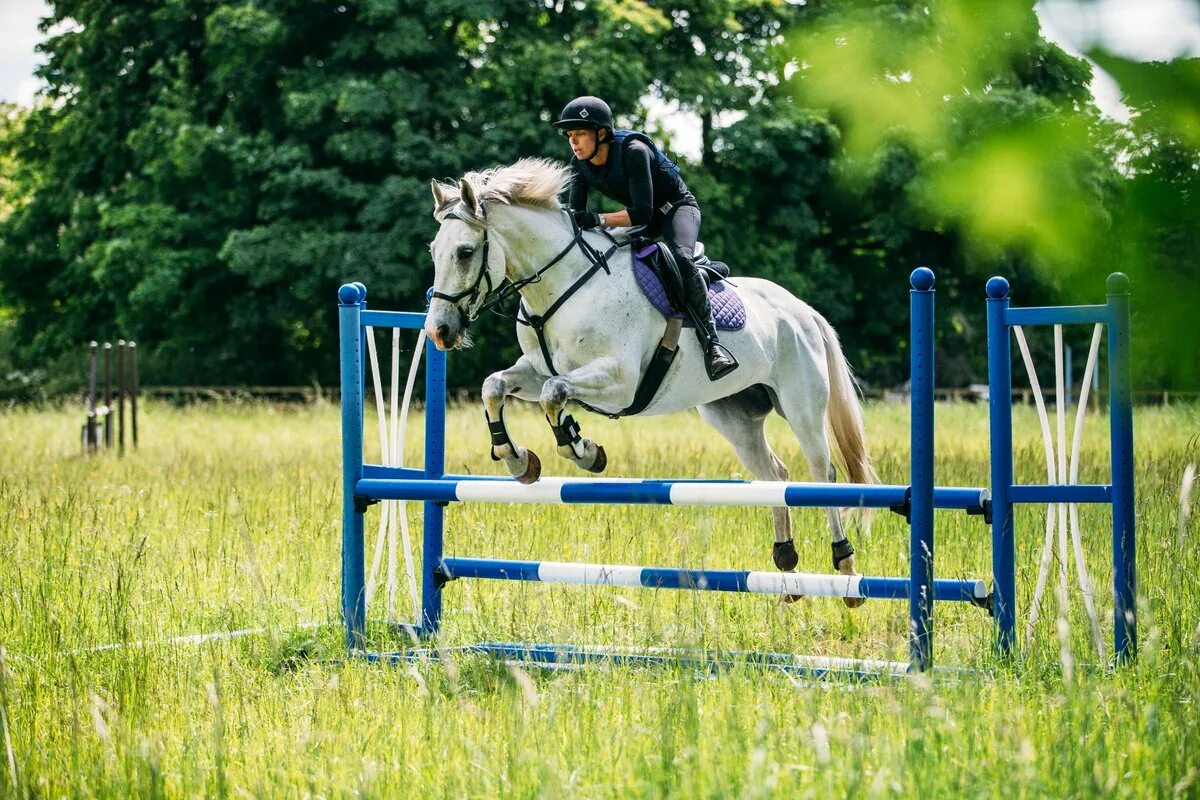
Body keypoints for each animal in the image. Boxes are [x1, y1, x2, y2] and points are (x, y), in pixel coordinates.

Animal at [427, 159, 878, 594]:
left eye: (465, 252)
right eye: (434, 251)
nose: (439, 332)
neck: (562, 286)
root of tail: (803, 310)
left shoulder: (620, 381)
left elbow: (555, 395)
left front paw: (583, 449)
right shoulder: (537, 370)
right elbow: (496, 387)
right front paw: (519, 459)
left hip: (801, 406)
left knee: (822, 474)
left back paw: (845, 564)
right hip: (734, 417)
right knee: (775, 475)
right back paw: (786, 565)